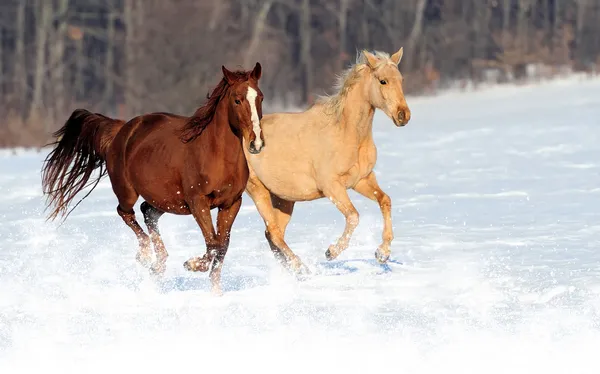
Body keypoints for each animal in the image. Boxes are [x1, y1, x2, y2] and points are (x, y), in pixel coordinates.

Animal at [41, 62, 264, 296]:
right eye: (237, 100)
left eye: (260, 97)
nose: (256, 143)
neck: (216, 155)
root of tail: (122, 129)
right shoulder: (198, 202)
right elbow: (213, 244)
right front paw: (192, 264)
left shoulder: (231, 203)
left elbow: (221, 247)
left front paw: (216, 293)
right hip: (127, 192)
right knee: (126, 212)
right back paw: (146, 255)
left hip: (166, 200)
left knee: (147, 211)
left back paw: (158, 264)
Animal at [241, 47, 410, 274]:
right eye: (383, 81)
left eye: (401, 79)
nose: (403, 115)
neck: (347, 132)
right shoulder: (331, 186)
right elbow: (353, 216)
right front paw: (331, 252)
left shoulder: (362, 180)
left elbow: (385, 201)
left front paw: (382, 253)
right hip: (258, 190)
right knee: (274, 233)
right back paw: (302, 269)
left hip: (284, 199)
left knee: (273, 235)